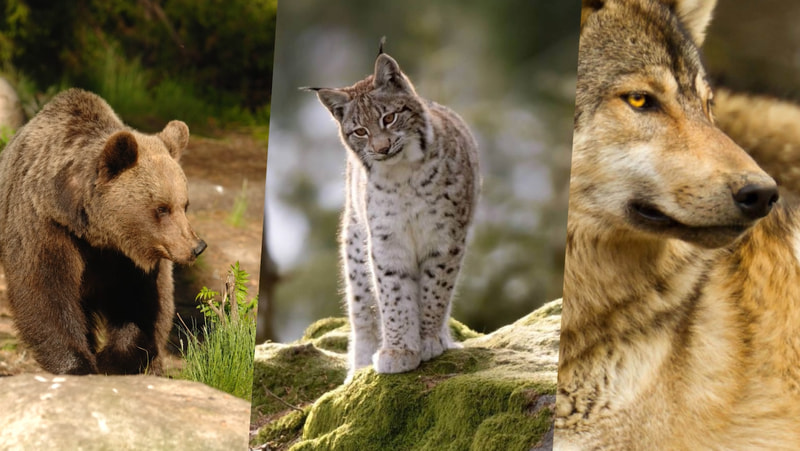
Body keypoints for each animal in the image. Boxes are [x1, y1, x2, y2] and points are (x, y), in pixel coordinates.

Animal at [0, 88, 206, 375]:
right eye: (162, 208)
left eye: (184, 205)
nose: (196, 247)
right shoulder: (44, 223)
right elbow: (44, 292)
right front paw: (78, 364)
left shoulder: (129, 258)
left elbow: (143, 305)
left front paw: (113, 359)